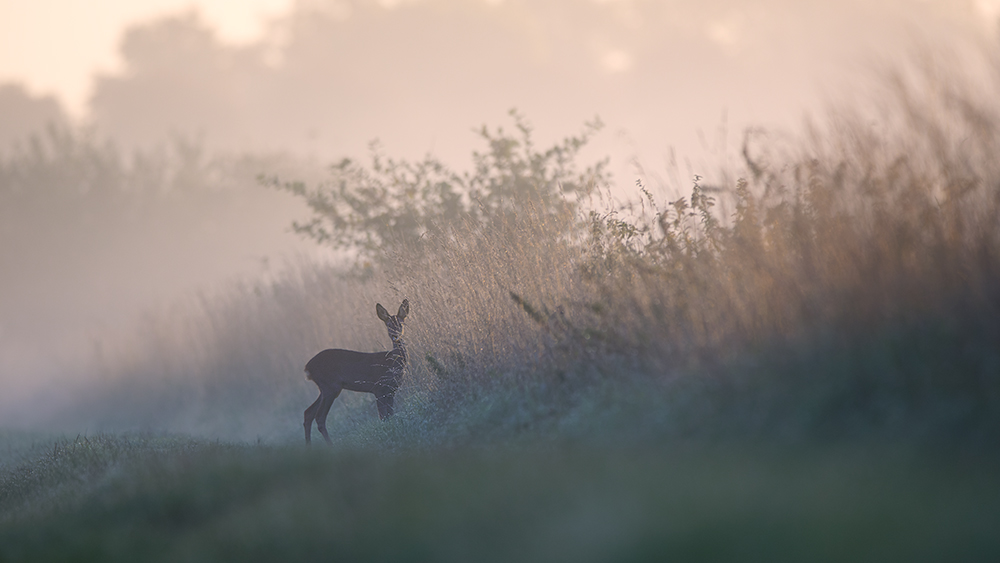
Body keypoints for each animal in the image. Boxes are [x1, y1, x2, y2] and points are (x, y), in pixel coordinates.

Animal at [302, 300, 408, 446]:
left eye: (401, 324)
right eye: (388, 325)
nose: (395, 336)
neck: (393, 362)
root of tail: (307, 367)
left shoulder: (391, 390)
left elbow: (390, 414)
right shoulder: (379, 387)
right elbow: (383, 416)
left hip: (326, 388)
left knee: (308, 413)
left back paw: (309, 446)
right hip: (330, 386)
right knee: (319, 416)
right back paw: (331, 446)